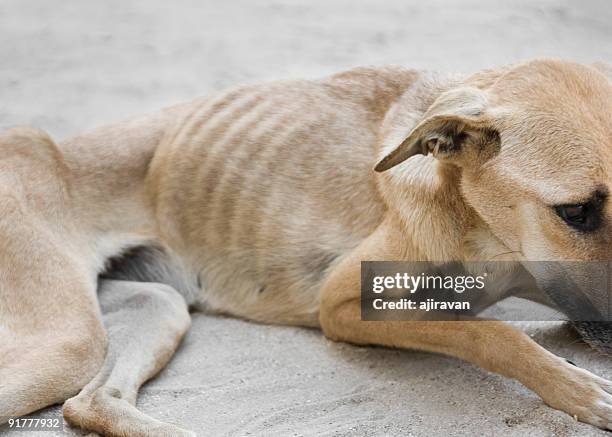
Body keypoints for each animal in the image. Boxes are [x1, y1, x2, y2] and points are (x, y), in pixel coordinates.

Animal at [0, 58, 608, 436]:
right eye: (575, 212)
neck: (478, 220)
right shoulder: (344, 305)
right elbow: (492, 333)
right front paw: (580, 389)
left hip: (157, 306)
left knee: (91, 402)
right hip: (71, 342)